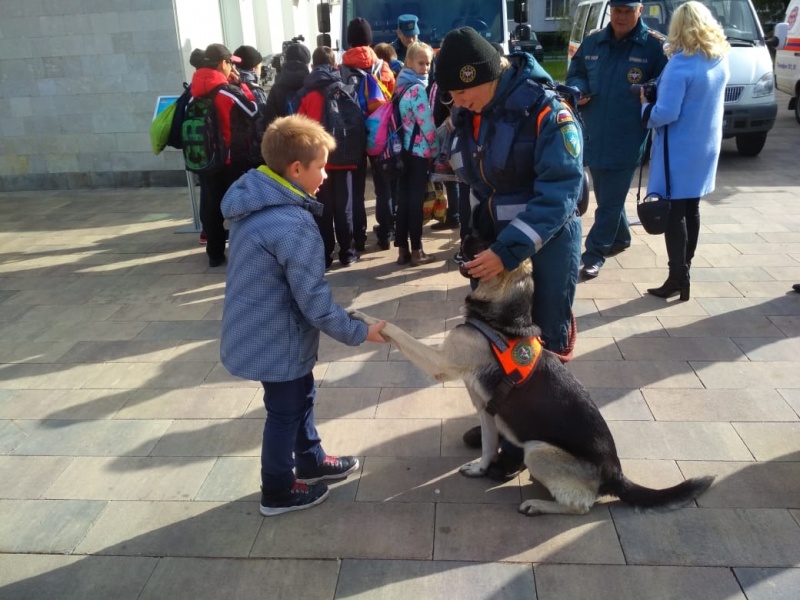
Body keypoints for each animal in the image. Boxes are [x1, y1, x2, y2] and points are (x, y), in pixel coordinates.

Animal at [354, 237, 716, 512]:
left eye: (489, 242)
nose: (464, 233)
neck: (503, 321)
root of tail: (616, 473)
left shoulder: (439, 362)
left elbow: (398, 332)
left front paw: (366, 319)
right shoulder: (486, 411)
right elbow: (488, 446)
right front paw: (481, 468)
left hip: (537, 449)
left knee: (582, 505)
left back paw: (540, 505)